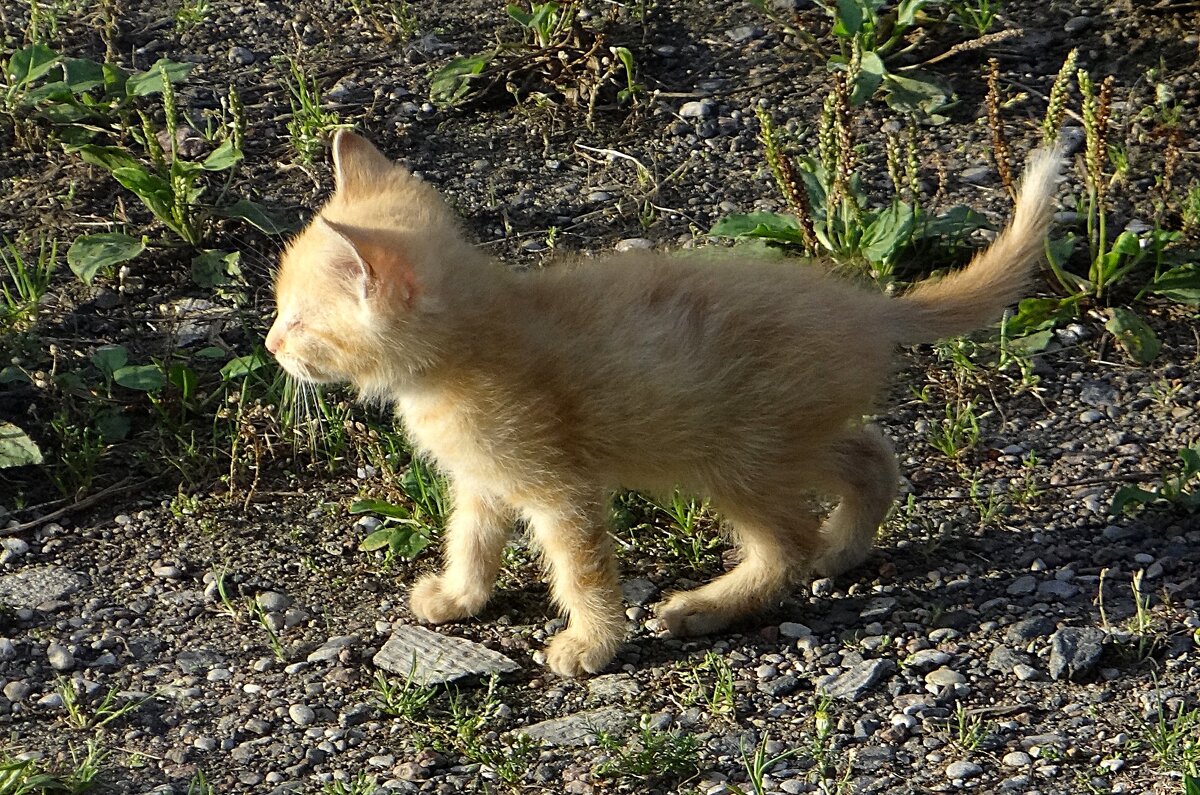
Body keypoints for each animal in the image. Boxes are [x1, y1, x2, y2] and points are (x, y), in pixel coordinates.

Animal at [265, 130, 1060, 677]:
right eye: (280, 313)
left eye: (299, 320)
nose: (271, 345)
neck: (472, 346)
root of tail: (865, 307)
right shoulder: (484, 479)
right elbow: (472, 537)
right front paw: (459, 598)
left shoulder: (559, 487)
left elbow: (582, 569)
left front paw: (590, 644)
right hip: (779, 436)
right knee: (870, 456)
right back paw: (842, 546)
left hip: (736, 455)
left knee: (788, 541)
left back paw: (706, 606)